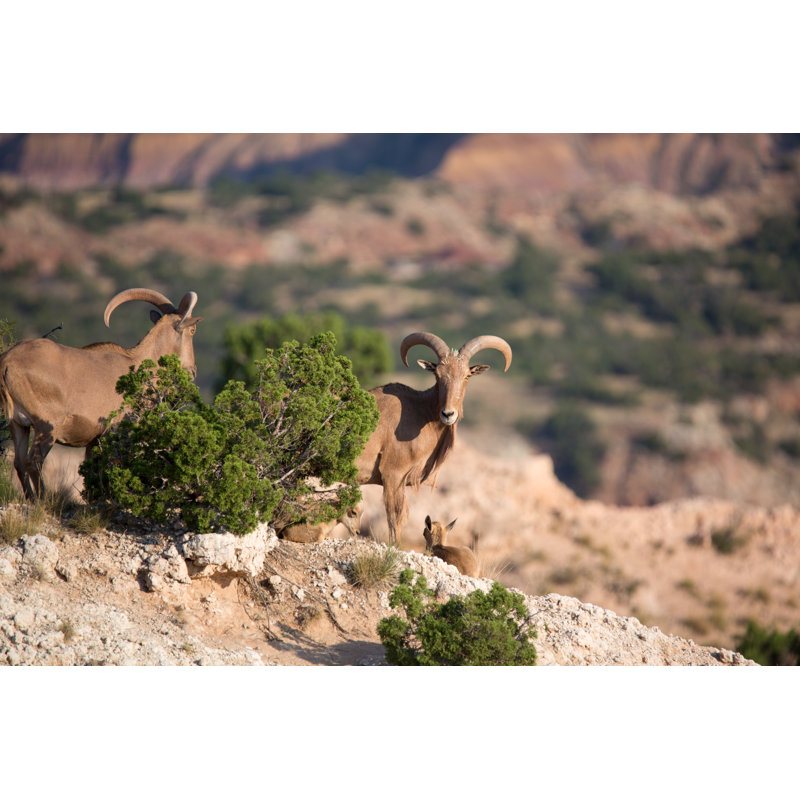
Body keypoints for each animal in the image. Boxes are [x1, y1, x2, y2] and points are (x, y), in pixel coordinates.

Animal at [0, 288, 201, 500]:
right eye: (193, 330)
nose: (192, 371)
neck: (140, 365)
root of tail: (6, 362)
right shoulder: (116, 432)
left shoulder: (94, 441)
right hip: (47, 427)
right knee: (34, 461)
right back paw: (43, 500)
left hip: (18, 425)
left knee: (19, 463)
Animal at [355, 331, 512, 543]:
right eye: (438, 375)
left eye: (466, 376)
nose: (448, 414)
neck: (421, 411)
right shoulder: (393, 474)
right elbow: (395, 519)